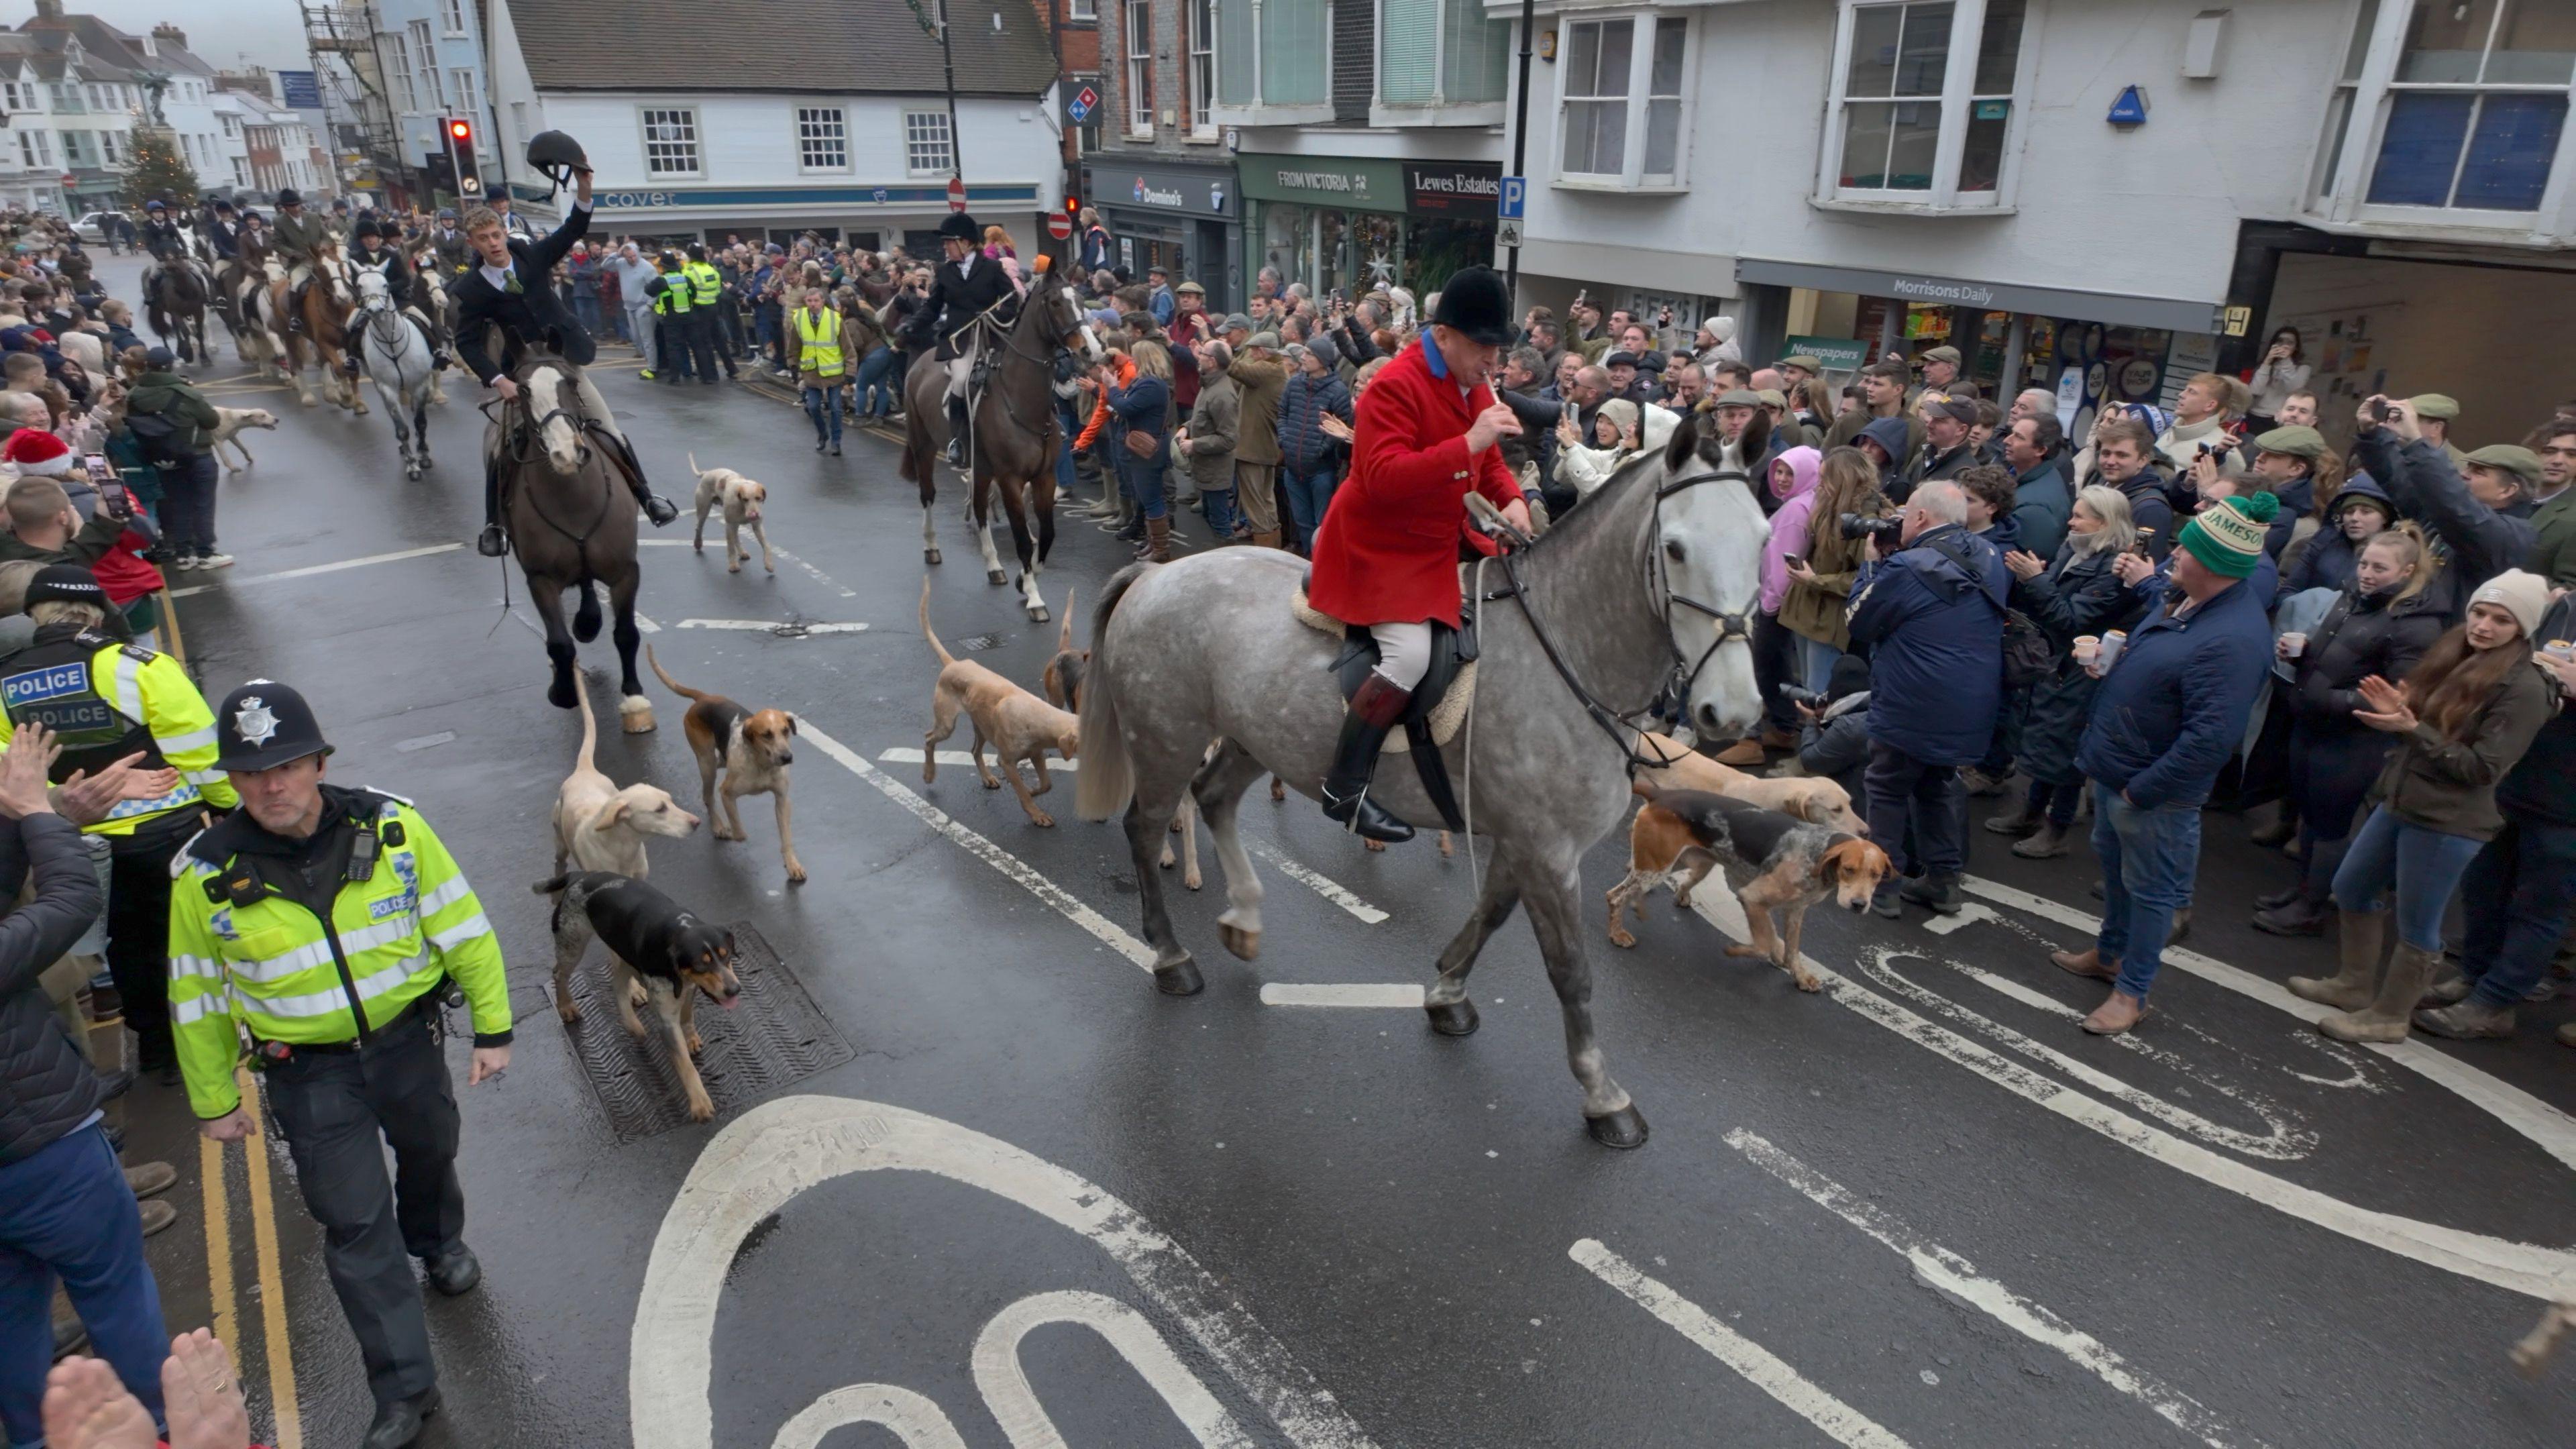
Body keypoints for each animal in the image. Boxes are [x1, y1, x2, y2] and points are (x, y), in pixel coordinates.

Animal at [353, 268, 437, 477]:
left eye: (385, 284)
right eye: (360, 285)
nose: (375, 310)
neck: (392, 343)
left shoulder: (420, 384)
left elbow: (420, 422)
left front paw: (424, 456)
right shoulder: (387, 388)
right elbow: (401, 428)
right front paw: (412, 464)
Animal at [492, 350, 654, 732]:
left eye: (571, 381)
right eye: (522, 388)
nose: (567, 455)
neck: (573, 497)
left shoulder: (626, 571)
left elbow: (626, 633)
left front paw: (634, 699)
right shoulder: (540, 579)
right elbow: (559, 644)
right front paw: (564, 692)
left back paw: (589, 620)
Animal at [891, 268, 1102, 619]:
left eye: (1083, 299)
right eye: (1056, 303)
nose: (1092, 351)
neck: (1021, 402)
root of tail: (921, 361)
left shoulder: (1044, 477)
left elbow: (1046, 535)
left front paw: (1023, 579)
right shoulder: (1011, 480)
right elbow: (1022, 539)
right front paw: (1034, 597)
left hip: (981, 466)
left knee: (978, 508)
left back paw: (994, 566)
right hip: (924, 446)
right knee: (928, 495)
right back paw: (932, 547)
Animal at [1071, 407, 1772, 1139]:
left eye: (1763, 540)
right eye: (1677, 549)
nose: (1733, 711)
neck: (1569, 654)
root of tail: (1156, 575)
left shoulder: (1525, 842)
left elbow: (1490, 915)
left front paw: (1447, 992)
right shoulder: (1547, 851)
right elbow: (1571, 971)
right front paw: (1604, 1095)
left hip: (1250, 739)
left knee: (1212, 800)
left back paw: (1245, 919)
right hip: (1165, 740)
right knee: (1146, 830)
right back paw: (1172, 956)